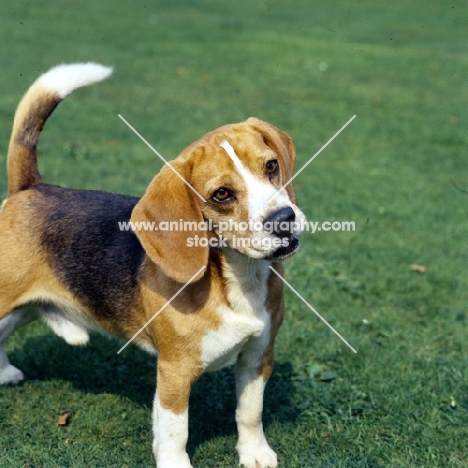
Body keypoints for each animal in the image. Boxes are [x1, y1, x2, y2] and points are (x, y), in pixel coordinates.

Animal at [0, 63, 308, 468]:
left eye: (271, 166)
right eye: (221, 194)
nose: (284, 219)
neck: (237, 279)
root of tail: (30, 188)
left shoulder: (257, 357)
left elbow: (249, 413)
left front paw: (254, 453)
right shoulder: (174, 372)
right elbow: (176, 432)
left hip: (24, 307)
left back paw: (4, 371)